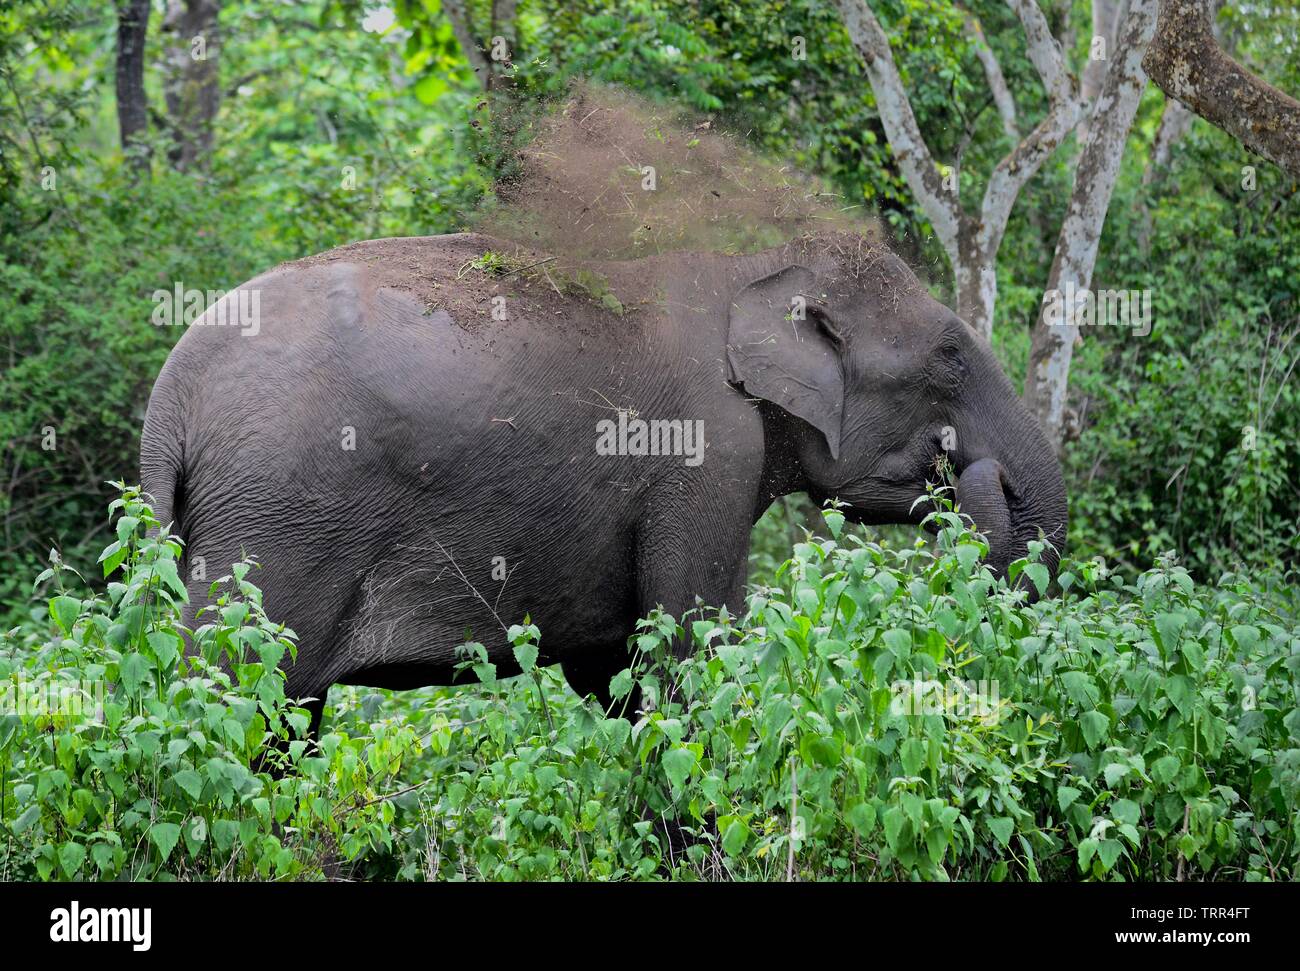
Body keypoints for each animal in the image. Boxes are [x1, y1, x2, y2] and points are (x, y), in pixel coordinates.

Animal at [139, 231, 1066, 727]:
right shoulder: (704, 453)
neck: (751, 270)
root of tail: (171, 398)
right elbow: (690, 647)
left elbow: (620, 671)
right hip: (277, 521)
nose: (972, 471)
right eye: (950, 356)